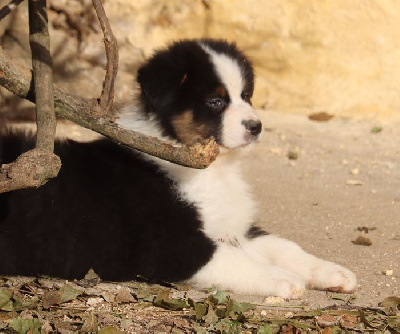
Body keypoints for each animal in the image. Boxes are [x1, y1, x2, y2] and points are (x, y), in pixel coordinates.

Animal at [0, 39, 356, 298]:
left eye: (246, 95)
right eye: (216, 102)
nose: (256, 127)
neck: (212, 169)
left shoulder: (231, 226)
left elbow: (283, 245)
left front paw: (331, 271)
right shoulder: (168, 244)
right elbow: (231, 258)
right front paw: (283, 278)